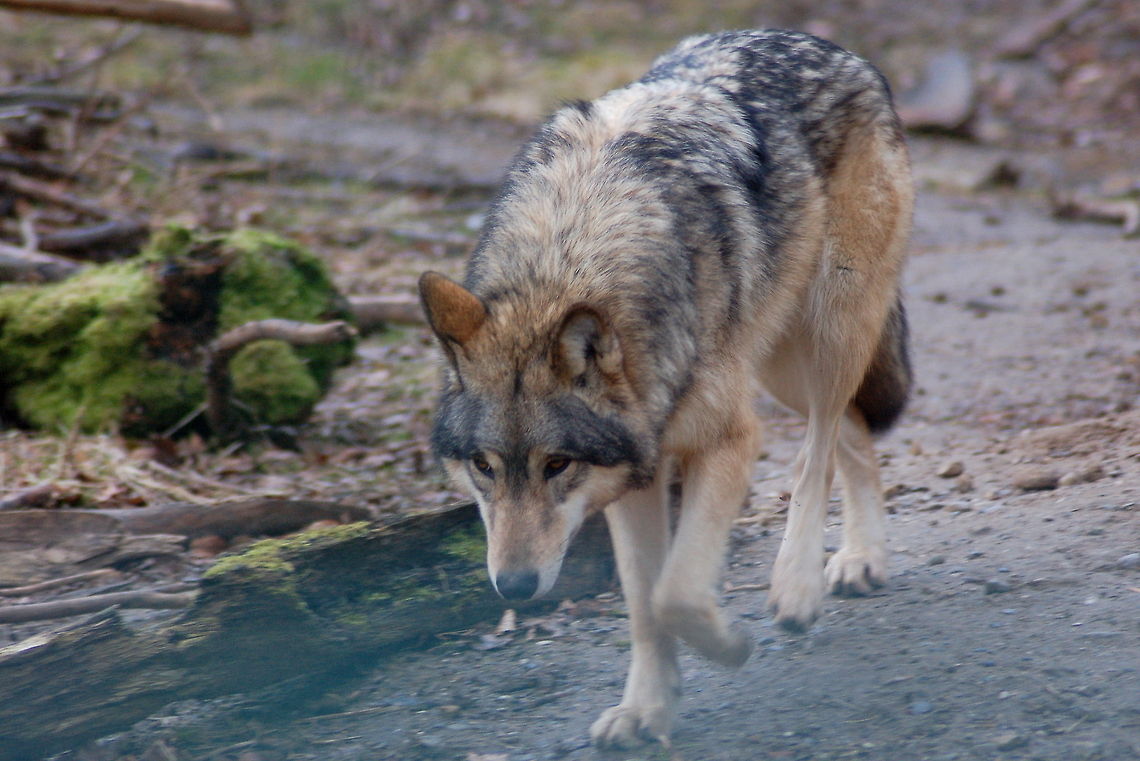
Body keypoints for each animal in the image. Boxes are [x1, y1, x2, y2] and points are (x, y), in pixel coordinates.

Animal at [418, 29, 913, 747]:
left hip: (827, 332)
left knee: (816, 451)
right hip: (778, 363)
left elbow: (675, 593)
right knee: (852, 432)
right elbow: (643, 604)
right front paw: (646, 710)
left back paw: (798, 587)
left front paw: (730, 646)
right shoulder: (633, 473)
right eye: (483, 467)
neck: (570, 255)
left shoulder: (730, 439)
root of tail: (832, 47)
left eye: (556, 464)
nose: (513, 586)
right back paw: (861, 557)